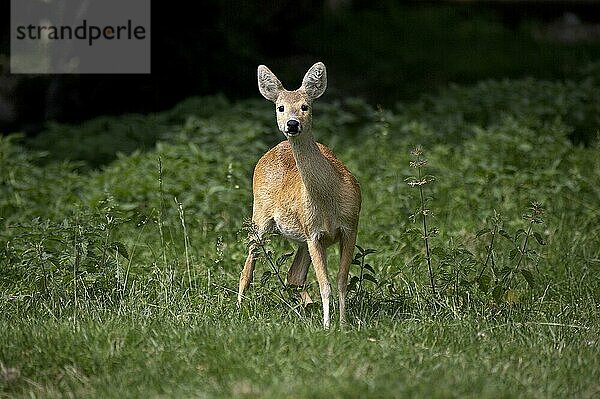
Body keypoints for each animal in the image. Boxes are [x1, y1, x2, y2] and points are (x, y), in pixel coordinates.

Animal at [237, 62, 360, 330]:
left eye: (305, 106)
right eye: (280, 107)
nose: (292, 124)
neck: (327, 199)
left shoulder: (349, 226)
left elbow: (341, 280)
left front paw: (344, 323)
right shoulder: (314, 233)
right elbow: (325, 284)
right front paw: (328, 326)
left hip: (302, 236)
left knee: (293, 276)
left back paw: (305, 307)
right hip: (260, 216)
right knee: (247, 267)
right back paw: (238, 308)